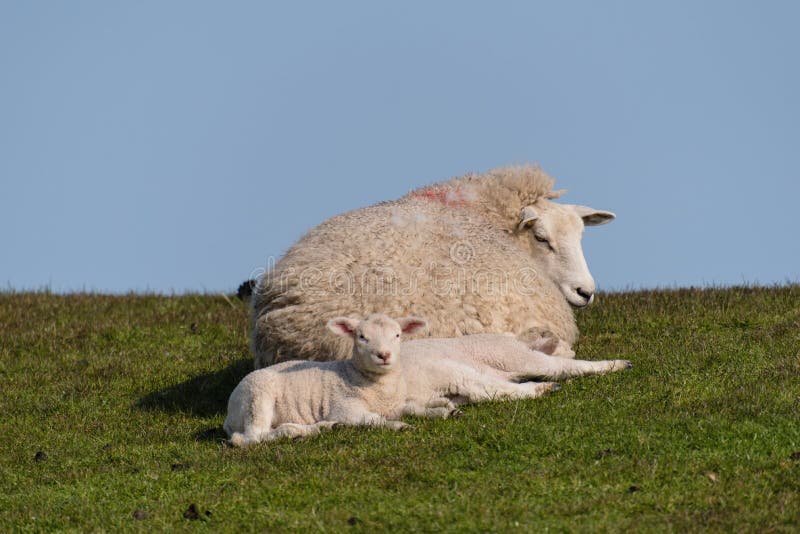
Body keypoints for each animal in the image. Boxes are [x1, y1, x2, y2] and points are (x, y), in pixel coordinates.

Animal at [224, 314, 426, 446]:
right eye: (362, 337)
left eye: (397, 335)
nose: (383, 355)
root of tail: (229, 415)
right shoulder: (344, 408)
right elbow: (373, 419)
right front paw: (399, 426)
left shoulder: (396, 406)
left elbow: (413, 408)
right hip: (256, 398)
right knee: (251, 437)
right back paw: (295, 432)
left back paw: (322, 427)